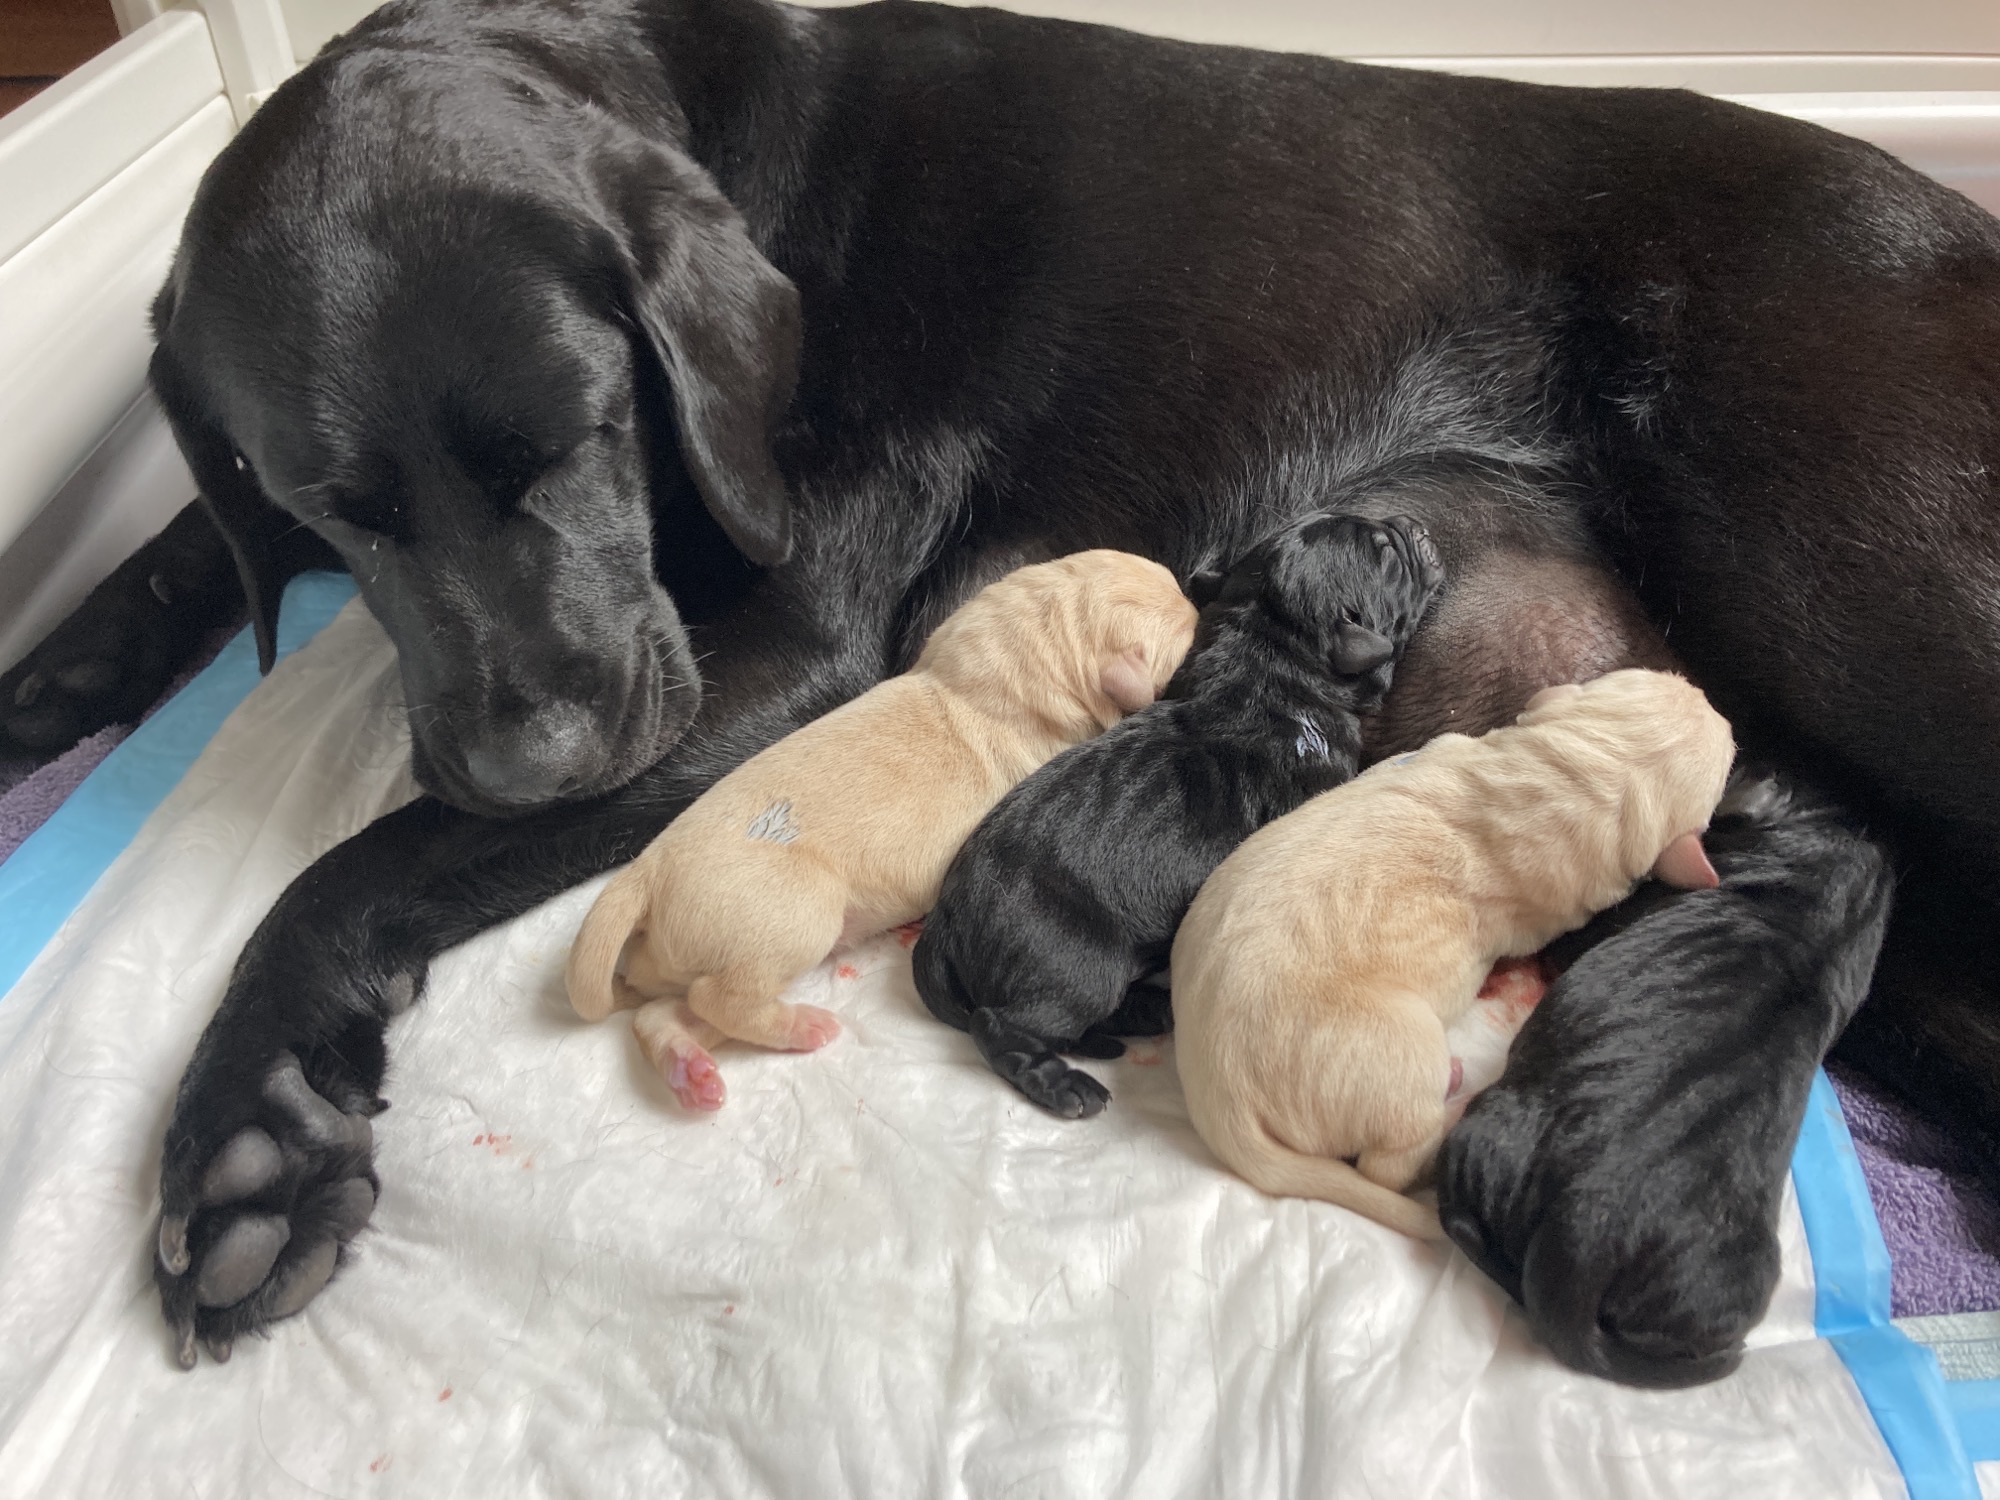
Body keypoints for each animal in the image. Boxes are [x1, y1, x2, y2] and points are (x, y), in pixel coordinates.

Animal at [564, 556, 1192, 1120]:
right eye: (1185, 628)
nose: (1195, 600)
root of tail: (641, 876)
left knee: (663, 1015)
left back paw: (688, 1070)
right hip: (792, 917)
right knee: (720, 999)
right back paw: (802, 1027)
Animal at [916, 516, 1448, 1120]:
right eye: (1384, 553)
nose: (1411, 524)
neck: (1268, 657)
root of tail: (944, 925)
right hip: (1074, 965)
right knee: (1003, 1024)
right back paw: (1064, 1084)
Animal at [1168, 676, 1736, 1240]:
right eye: (1729, 756)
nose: (1720, 710)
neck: (1558, 781)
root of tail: (1220, 1101)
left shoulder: (1448, 748)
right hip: (1398, 1048)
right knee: (1385, 1167)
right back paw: (1456, 1101)